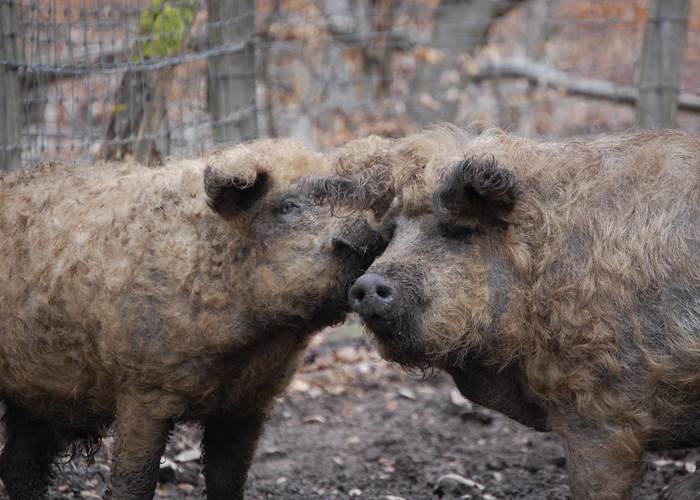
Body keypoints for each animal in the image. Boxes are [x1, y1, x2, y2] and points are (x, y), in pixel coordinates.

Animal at [0, 138, 384, 500]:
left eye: (358, 204)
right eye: (288, 207)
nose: (368, 237)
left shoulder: (248, 404)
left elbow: (228, 482)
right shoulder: (142, 387)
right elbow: (135, 482)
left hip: (34, 396)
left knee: (18, 466)